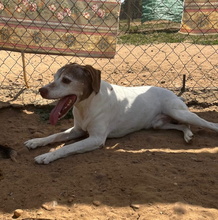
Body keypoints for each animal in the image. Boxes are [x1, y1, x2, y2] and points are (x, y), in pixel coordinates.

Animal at [24, 62, 218, 164]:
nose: (41, 90)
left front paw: (47, 156)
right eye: (54, 77)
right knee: (183, 126)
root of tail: (174, 93)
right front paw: (36, 142)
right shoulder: (77, 130)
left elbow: (67, 147)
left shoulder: (96, 139)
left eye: (66, 80)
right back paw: (188, 135)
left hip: (178, 112)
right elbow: (54, 136)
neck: (87, 105)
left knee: (208, 123)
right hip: (159, 124)